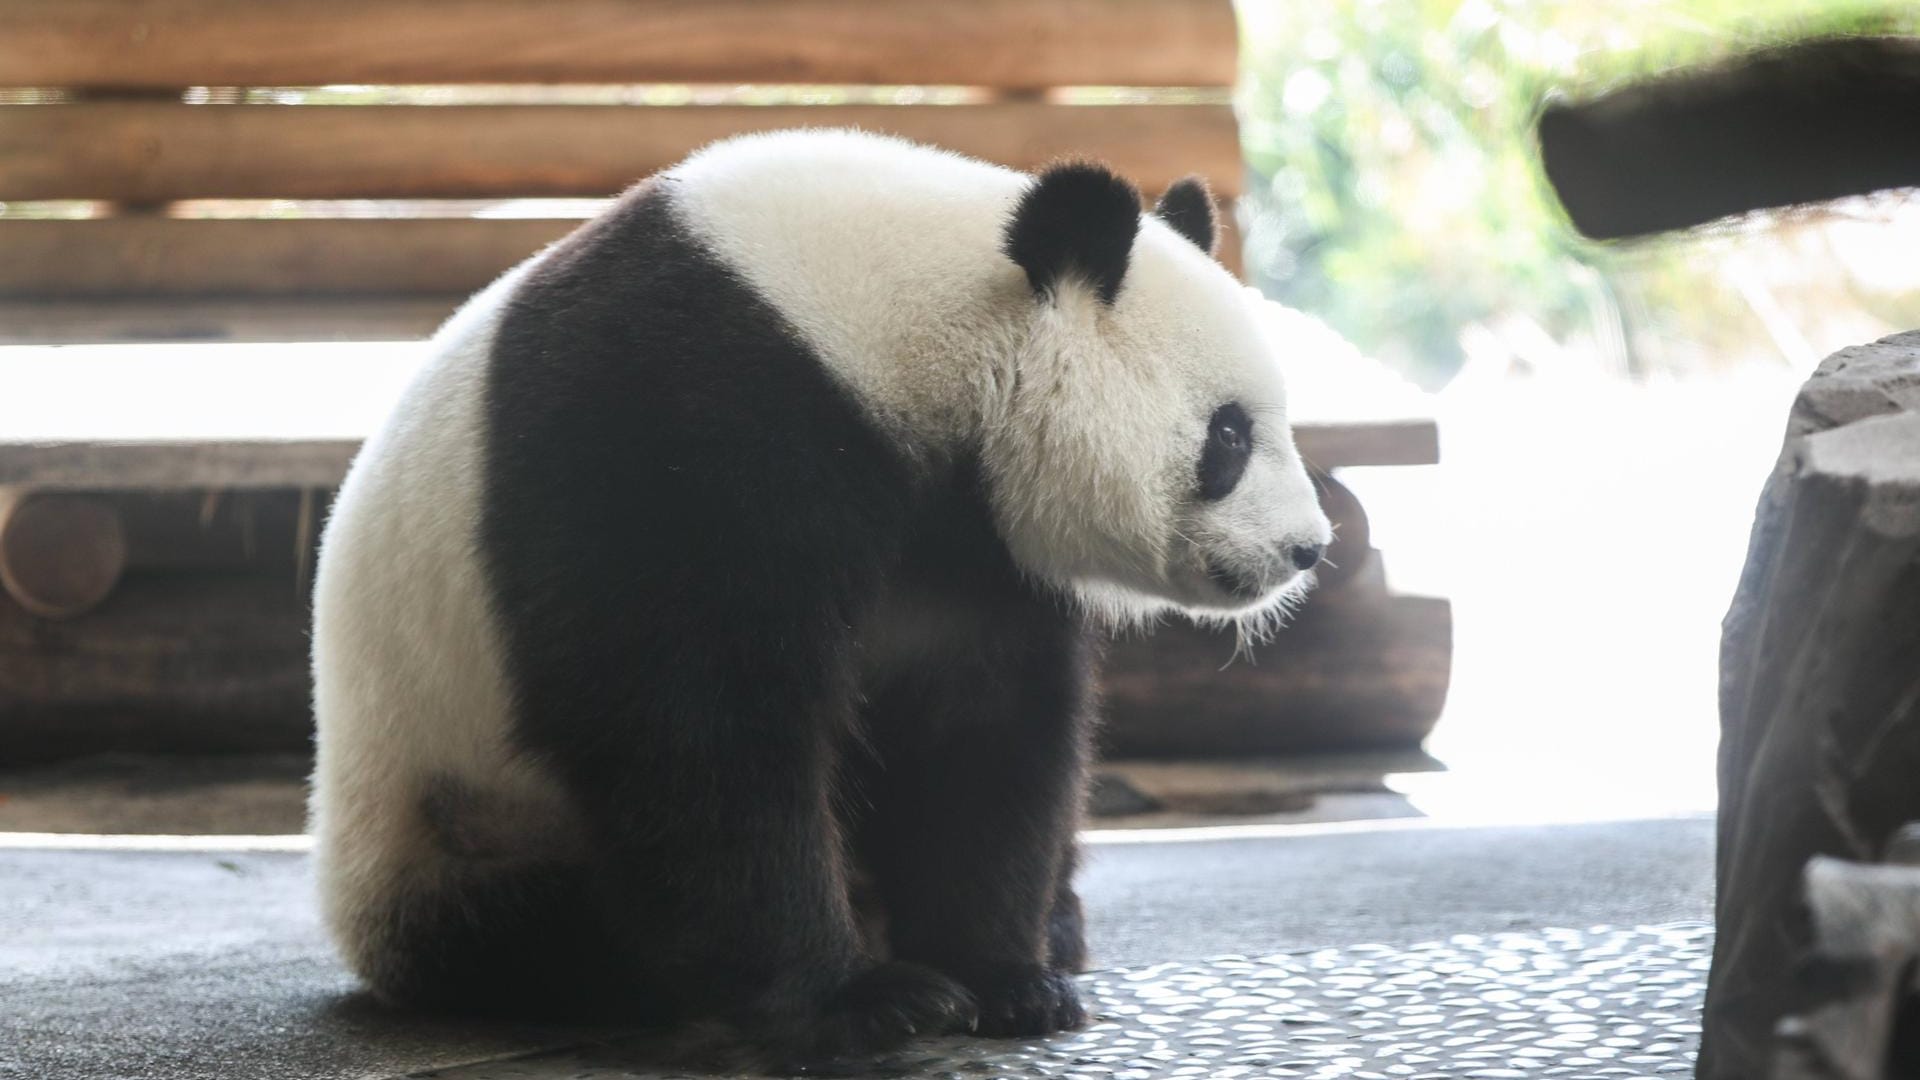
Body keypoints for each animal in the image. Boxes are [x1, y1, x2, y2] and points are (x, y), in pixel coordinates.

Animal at [314, 130, 1336, 1060]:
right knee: (544, 928)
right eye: (1230, 436)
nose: (1307, 548)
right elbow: (696, 726)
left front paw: (1004, 977)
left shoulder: (969, 543)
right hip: (449, 819)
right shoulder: (676, 422)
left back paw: (1056, 924)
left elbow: (983, 726)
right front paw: (864, 1004)